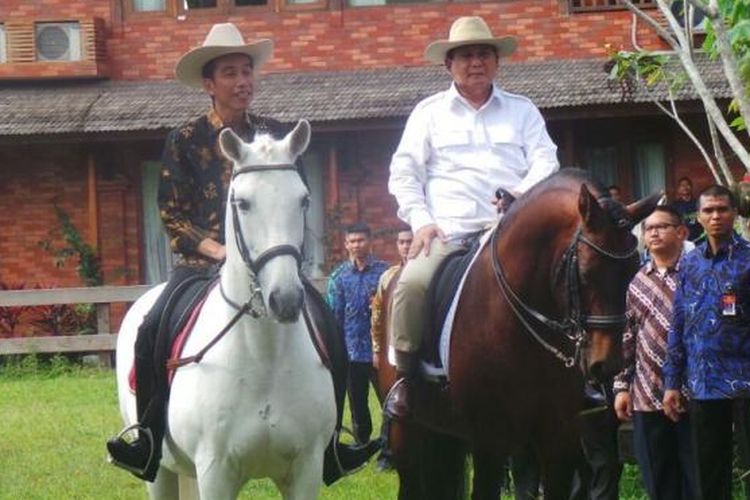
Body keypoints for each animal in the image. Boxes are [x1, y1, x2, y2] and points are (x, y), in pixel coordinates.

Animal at [113, 121, 336, 500]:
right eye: (243, 203)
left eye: (304, 199)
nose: (285, 299)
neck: (263, 356)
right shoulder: (215, 472)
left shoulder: (306, 469)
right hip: (160, 472)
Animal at [376, 169, 656, 500]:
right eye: (586, 272)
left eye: (632, 271)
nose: (607, 364)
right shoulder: (489, 440)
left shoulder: (558, 437)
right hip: (406, 434)